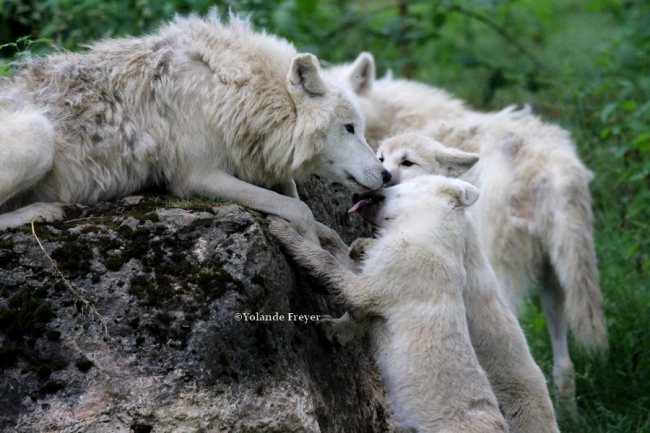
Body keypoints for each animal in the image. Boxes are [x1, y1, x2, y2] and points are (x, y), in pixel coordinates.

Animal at [0, 13, 390, 243]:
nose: (386, 175)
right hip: (39, 136)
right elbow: (299, 210)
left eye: (361, 128)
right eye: (349, 128)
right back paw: (41, 212)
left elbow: (294, 196)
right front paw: (311, 250)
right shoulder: (196, 178)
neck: (231, 91)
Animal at [270, 176, 560, 432]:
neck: (429, 229)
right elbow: (349, 259)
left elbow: (350, 285)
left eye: (399, 180)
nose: (356, 194)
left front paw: (281, 227)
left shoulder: (405, 263)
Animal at [326, 52, 604, 420]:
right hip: (556, 276)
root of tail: (551, 170)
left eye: (347, 119)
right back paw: (568, 412)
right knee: (564, 362)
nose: (381, 174)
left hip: (506, 270)